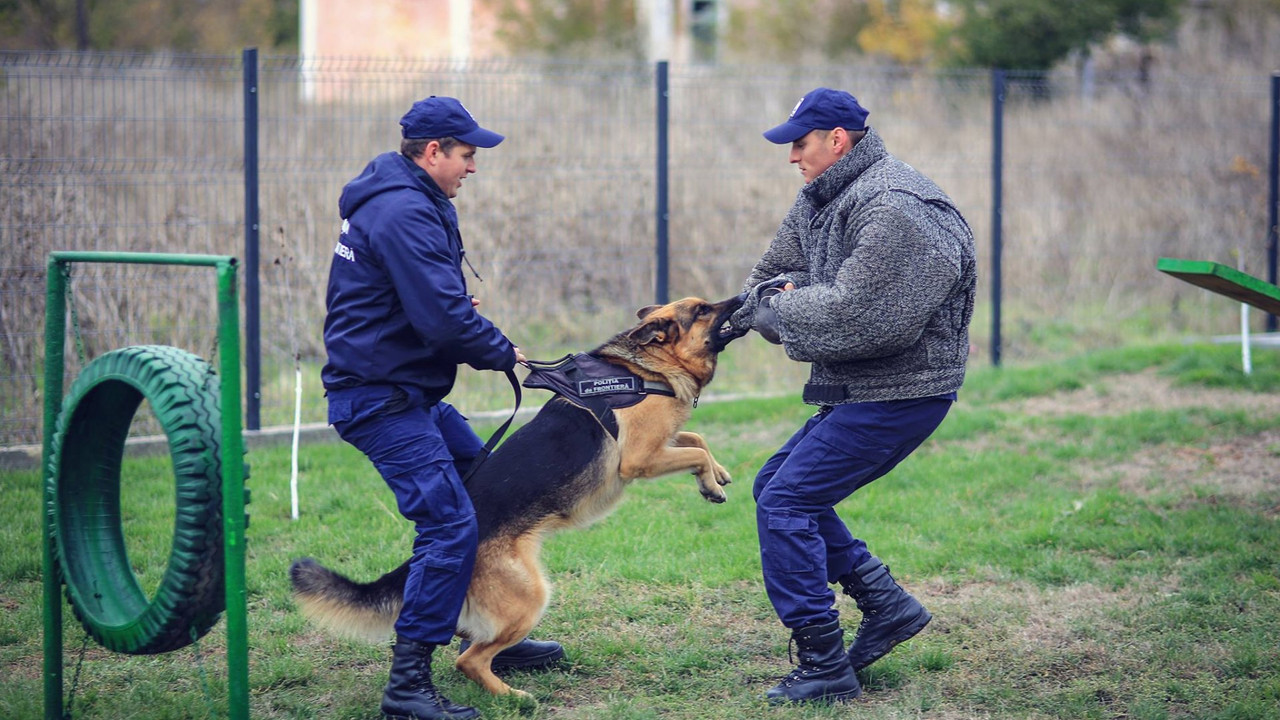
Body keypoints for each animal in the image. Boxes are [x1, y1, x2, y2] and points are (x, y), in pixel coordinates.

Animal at [289, 292, 747, 696]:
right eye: (703, 310)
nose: (743, 297)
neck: (647, 368)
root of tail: (424, 553)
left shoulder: (661, 444)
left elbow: (696, 438)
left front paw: (718, 474)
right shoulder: (640, 459)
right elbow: (693, 449)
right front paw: (710, 481)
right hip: (529, 597)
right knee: (469, 659)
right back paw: (513, 697)